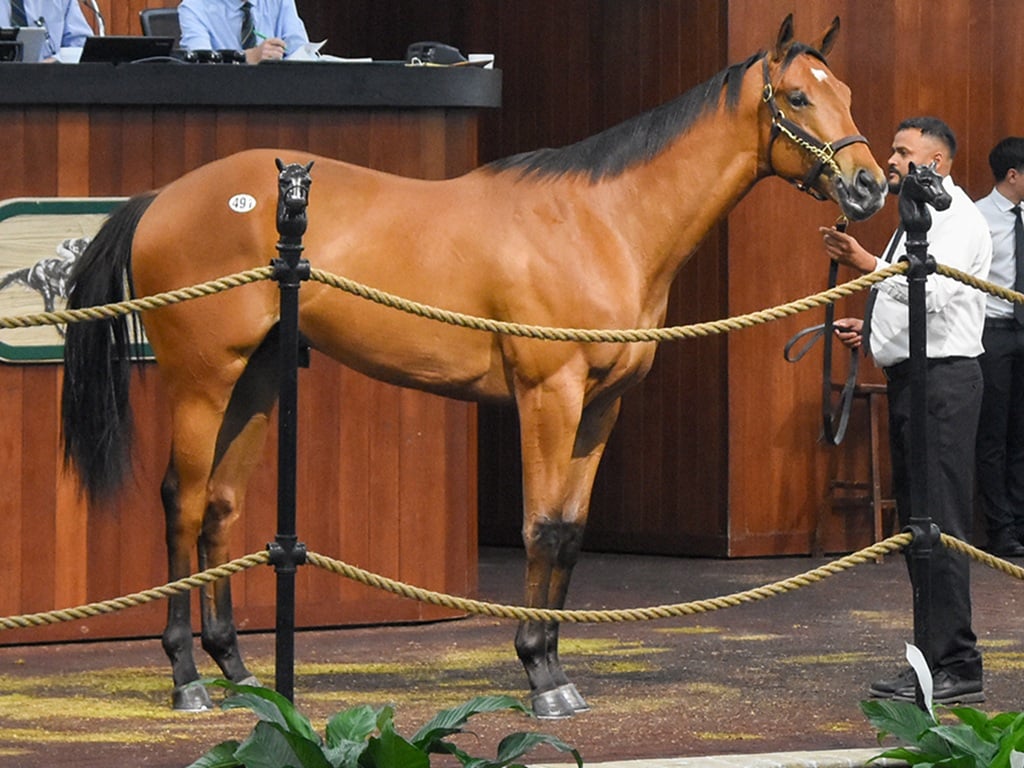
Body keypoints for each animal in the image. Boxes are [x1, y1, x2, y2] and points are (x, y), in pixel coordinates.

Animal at [59, 15, 884, 720]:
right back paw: (187, 679)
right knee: (183, 502)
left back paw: (238, 670)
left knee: (221, 508)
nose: (871, 184)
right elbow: (541, 527)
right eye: (799, 96)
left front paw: (555, 666)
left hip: (256, 381)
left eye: (846, 92)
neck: (604, 223)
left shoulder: (602, 406)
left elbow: (572, 531)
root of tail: (163, 195)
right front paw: (539, 674)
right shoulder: (549, 396)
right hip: (202, 380)